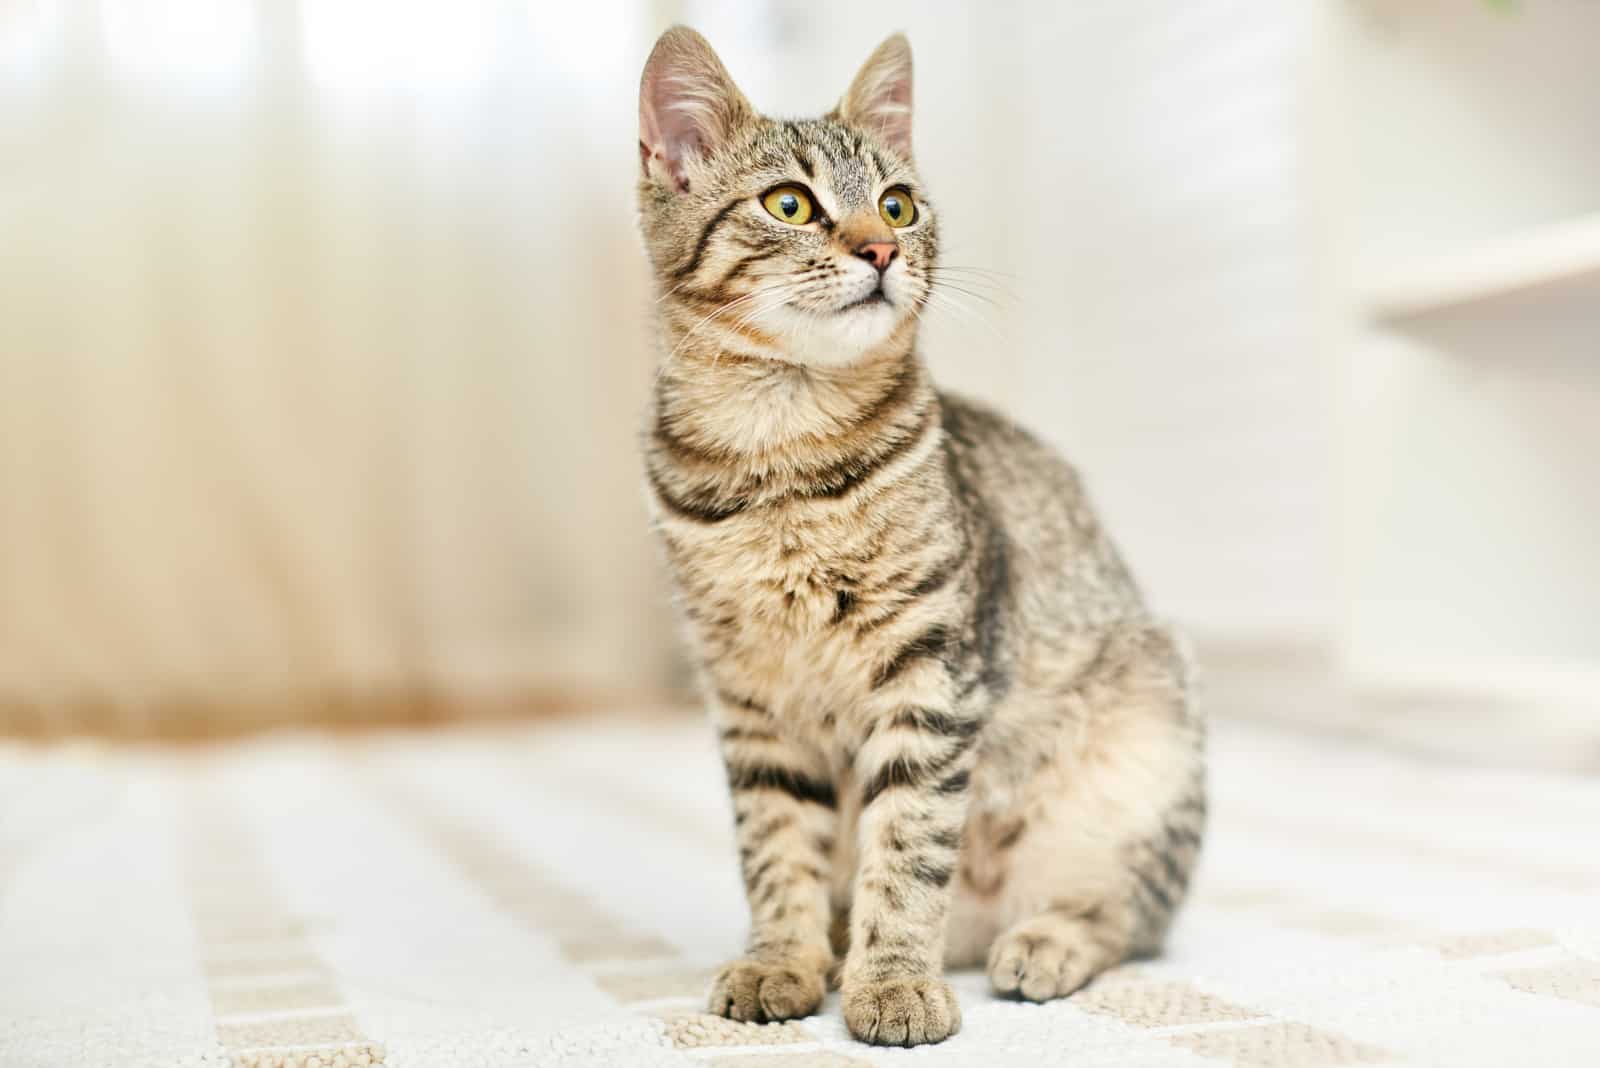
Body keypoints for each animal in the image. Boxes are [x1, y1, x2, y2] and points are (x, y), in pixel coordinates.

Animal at [633, 27, 1203, 1048]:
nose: (882, 247)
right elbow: (776, 848)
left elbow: (907, 848)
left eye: (897, 202)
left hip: (1147, 731)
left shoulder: (931, 675)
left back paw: (1041, 942)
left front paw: (894, 980)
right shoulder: (751, 697)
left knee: (1125, 911)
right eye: (790, 203)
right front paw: (781, 958)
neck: (780, 460)